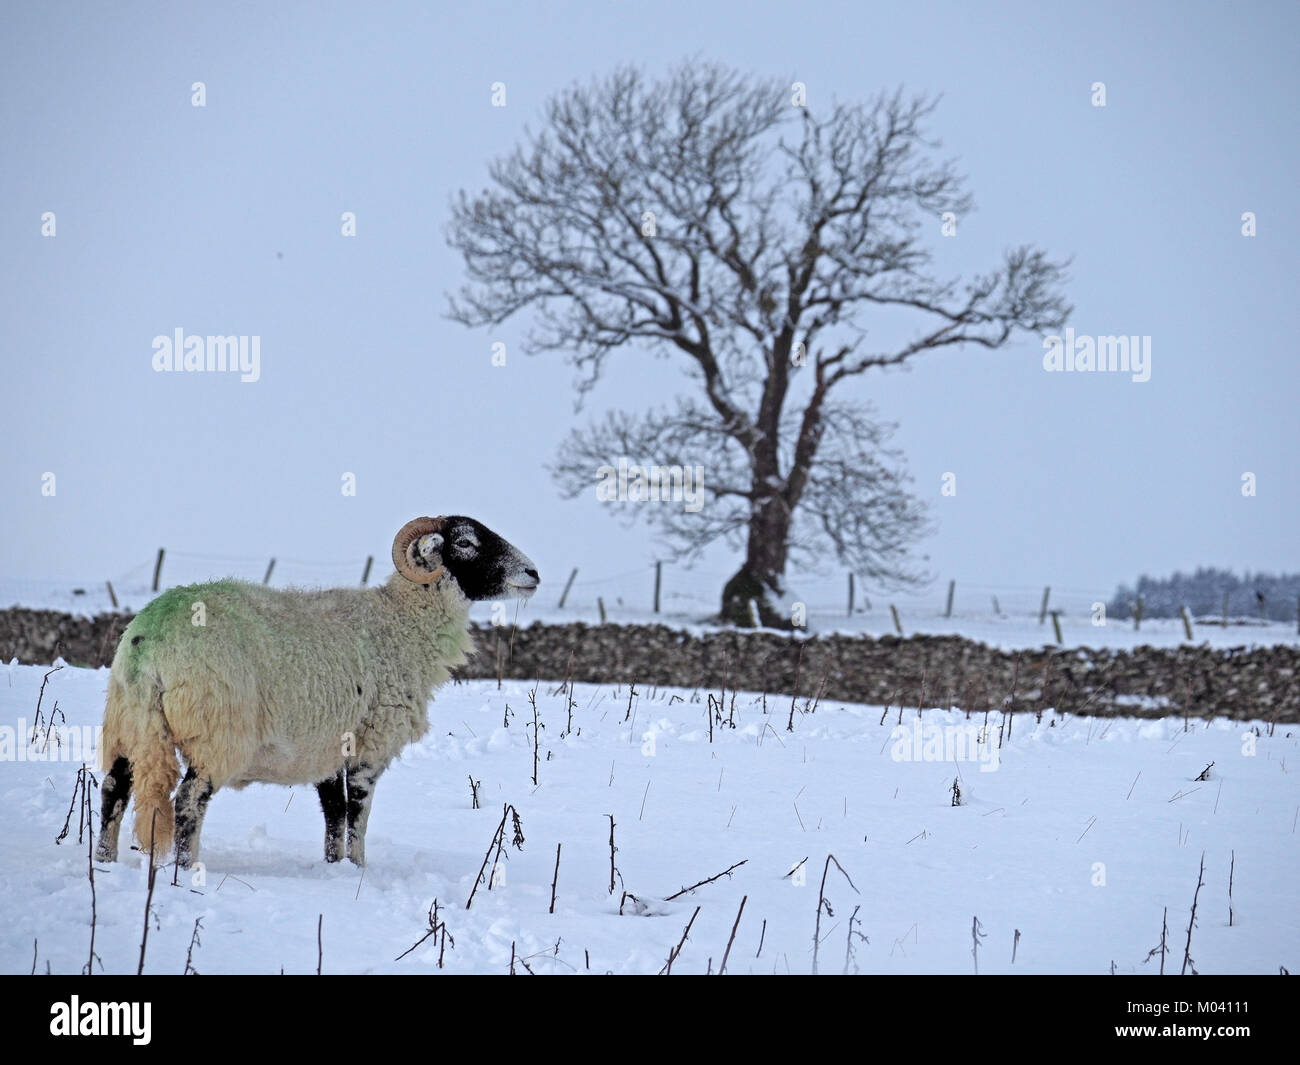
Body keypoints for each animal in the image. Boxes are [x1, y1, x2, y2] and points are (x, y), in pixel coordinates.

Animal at [94, 517, 535, 868]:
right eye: (465, 542)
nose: (533, 573)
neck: (400, 621)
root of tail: (152, 640)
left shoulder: (328, 746)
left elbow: (334, 813)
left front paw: (333, 867)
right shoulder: (369, 740)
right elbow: (357, 812)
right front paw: (357, 869)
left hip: (128, 723)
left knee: (114, 788)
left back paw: (104, 861)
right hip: (216, 732)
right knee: (188, 800)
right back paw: (184, 869)